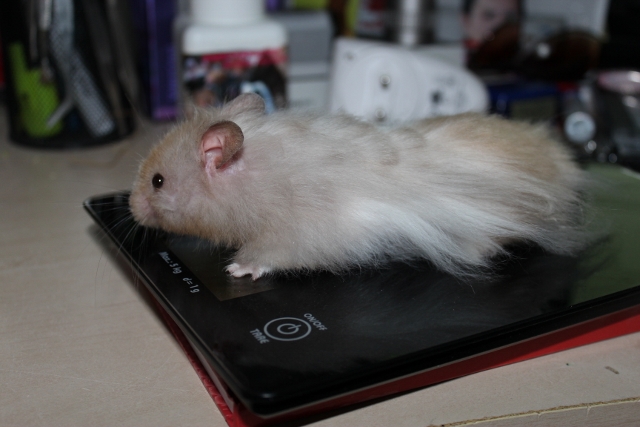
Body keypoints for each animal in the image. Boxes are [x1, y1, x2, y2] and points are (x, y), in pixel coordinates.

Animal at [129, 93, 589, 280]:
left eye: (157, 181)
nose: (130, 207)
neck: (255, 175)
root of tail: (566, 164)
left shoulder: (296, 235)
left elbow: (268, 256)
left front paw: (236, 269)